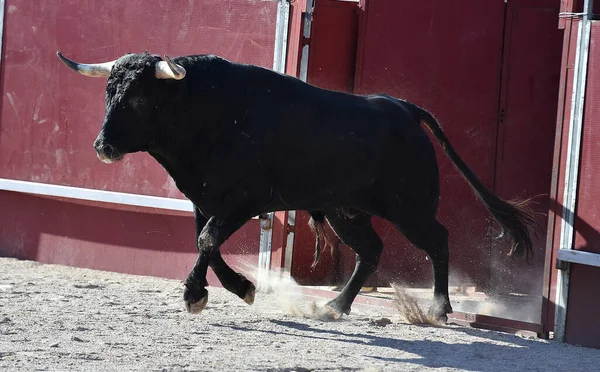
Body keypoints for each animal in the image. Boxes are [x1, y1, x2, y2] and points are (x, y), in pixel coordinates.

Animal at [57, 50, 540, 322]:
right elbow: (204, 241)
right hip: (348, 211)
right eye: (108, 93)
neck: (208, 111)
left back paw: (439, 308)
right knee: (371, 251)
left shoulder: (243, 199)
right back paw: (335, 307)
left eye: (139, 97)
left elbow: (208, 239)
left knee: (437, 240)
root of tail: (404, 108)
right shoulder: (203, 198)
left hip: (411, 208)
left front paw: (195, 295)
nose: (102, 147)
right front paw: (240, 288)